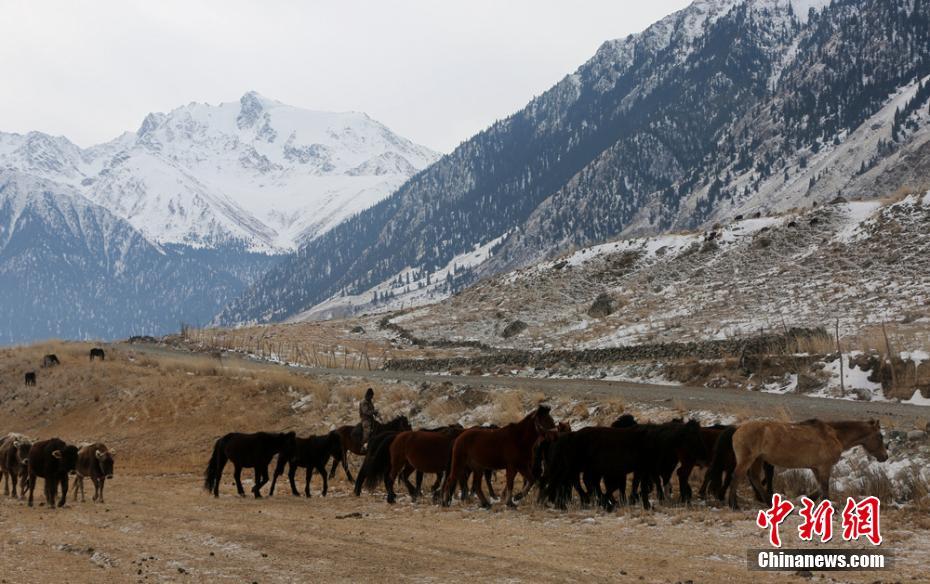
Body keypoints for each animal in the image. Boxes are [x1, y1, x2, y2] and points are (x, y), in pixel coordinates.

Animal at [724, 418, 884, 508]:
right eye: (880, 436)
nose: (885, 456)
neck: (834, 435)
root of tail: (738, 428)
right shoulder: (824, 467)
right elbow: (825, 487)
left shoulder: (815, 467)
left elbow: (820, 487)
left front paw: (808, 499)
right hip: (748, 459)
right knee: (736, 477)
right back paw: (734, 505)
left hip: (758, 459)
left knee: (754, 477)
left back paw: (769, 502)